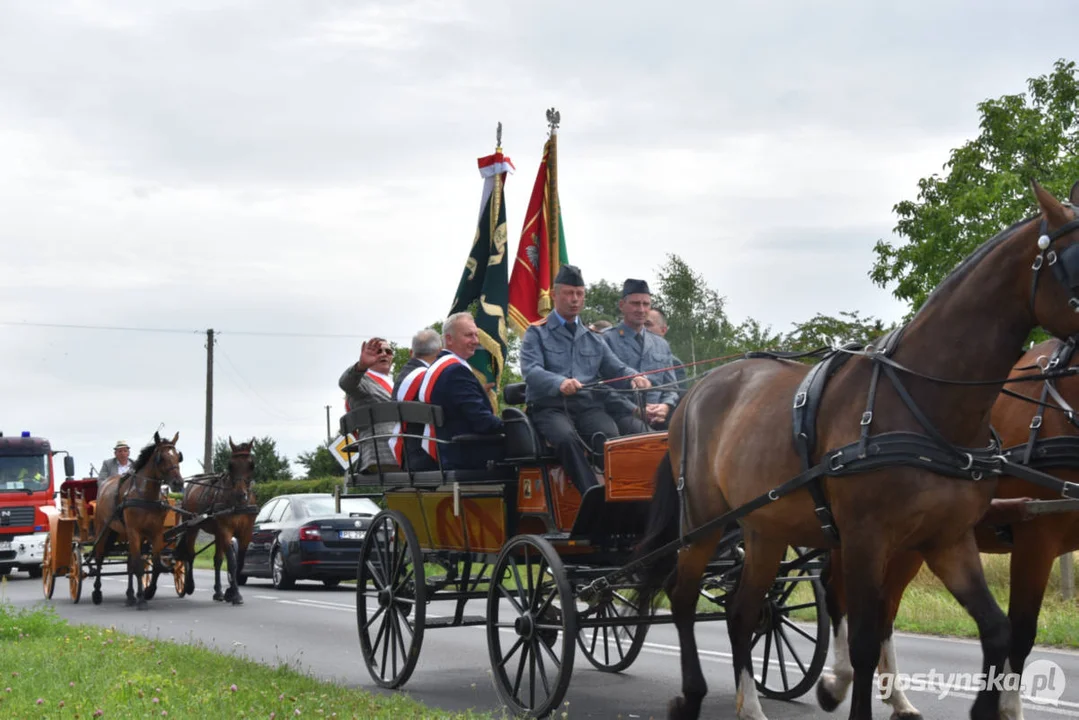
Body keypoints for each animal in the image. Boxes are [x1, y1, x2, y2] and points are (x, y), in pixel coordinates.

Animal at [91, 431, 184, 613]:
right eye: (161, 458)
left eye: (178, 456)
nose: (178, 483)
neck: (145, 495)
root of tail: (105, 484)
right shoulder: (135, 531)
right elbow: (139, 567)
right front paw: (141, 599)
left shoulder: (155, 533)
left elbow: (154, 563)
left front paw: (145, 593)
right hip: (103, 529)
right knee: (99, 558)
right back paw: (97, 593)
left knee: (129, 563)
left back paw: (129, 596)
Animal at [180, 436, 260, 604]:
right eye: (230, 465)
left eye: (251, 465)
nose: (240, 494)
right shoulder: (225, 530)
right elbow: (232, 561)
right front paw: (236, 594)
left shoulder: (246, 532)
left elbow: (239, 562)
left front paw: (230, 591)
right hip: (192, 527)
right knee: (190, 554)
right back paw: (189, 585)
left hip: (216, 533)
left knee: (217, 560)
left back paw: (218, 592)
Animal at [815, 334, 1079, 716]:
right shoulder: (1035, 541)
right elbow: (1023, 632)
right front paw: (1008, 709)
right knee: (836, 590)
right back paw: (837, 682)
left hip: (906, 546)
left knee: (884, 610)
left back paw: (898, 699)